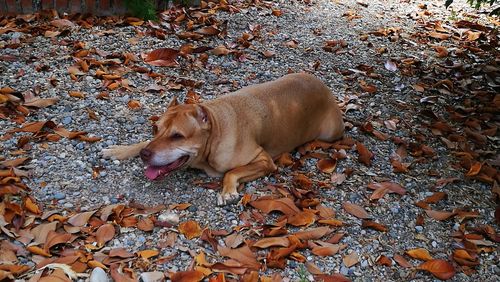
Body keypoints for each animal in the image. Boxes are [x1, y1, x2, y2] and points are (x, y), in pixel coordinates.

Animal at [101, 72, 344, 205]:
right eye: (155, 129)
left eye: (177, 136)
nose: (145, 155)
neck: (215, 129)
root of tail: (322, 85)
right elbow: (140, 141)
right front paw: (119, 149)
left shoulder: (264, 160)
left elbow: (231, 172)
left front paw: (227, 192)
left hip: (332, 132)